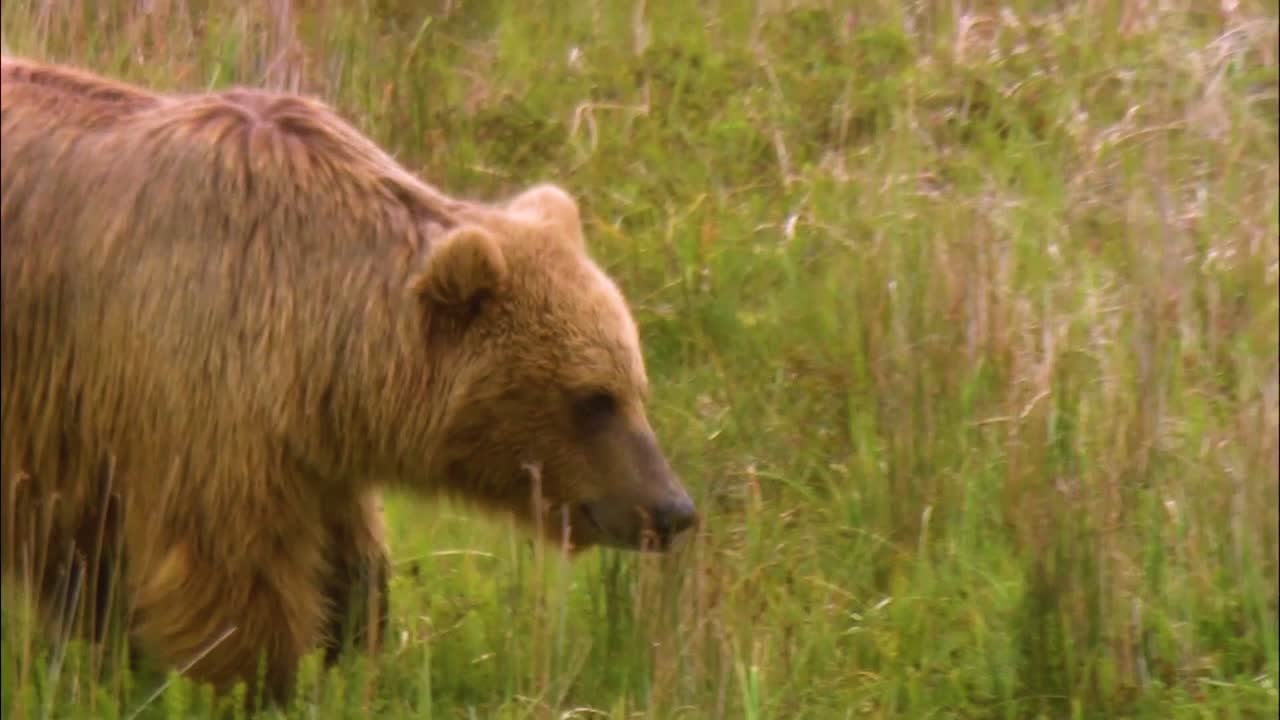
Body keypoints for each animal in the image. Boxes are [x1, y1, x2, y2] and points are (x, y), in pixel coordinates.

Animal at [0, 56, 697, 703]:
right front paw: (255, 680)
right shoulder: (194, 381)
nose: (672, 509)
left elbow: (347, 559)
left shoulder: (303, 438)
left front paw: (350, 644)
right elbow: (231, 571)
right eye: (592, 398)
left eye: (635, 386)